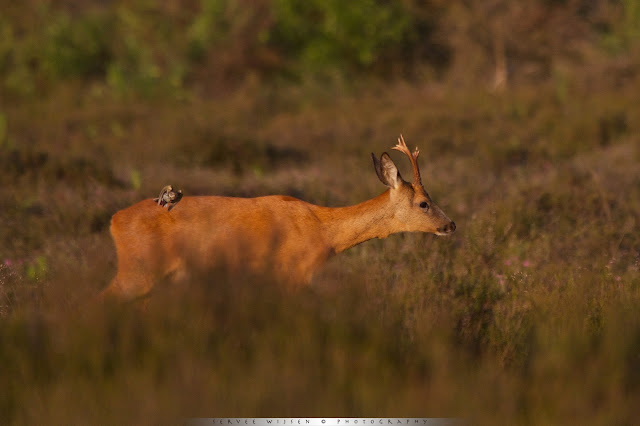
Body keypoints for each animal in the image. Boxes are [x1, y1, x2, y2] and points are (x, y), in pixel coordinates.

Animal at [99, 135, 456, 302]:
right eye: (424, 203)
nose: (451, 224)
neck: (324, 230)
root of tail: (114, 221)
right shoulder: (293, 272)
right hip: (138, 270)